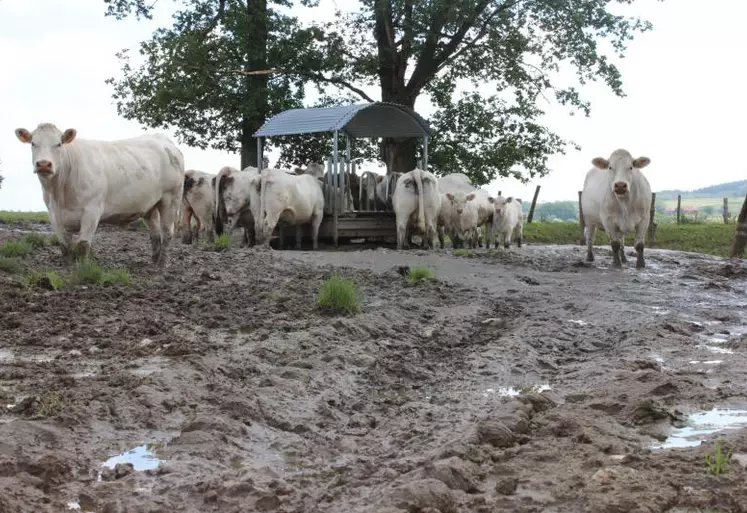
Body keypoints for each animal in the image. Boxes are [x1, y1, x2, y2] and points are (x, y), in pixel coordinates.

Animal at [14, 122, 184, 266]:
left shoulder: (92, 210)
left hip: (171, 198)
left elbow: (83, 245)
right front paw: (67, 265)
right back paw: (154, 260)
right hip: (150, 206)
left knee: (167, 232)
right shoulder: (54, 214)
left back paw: (162, 264)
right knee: (155, 234)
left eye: (59, 144)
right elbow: (65, 246)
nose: (44, 164)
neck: (59, 193)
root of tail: (163, 139)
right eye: (33, 143)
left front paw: (81, 267)